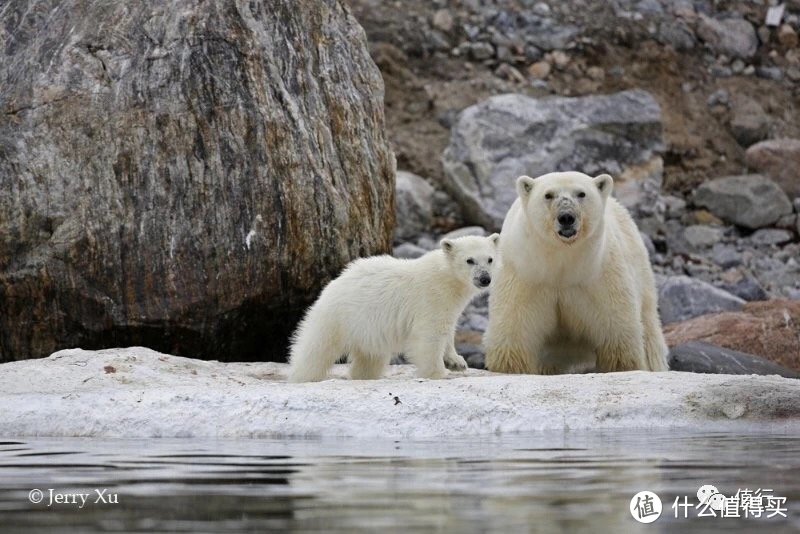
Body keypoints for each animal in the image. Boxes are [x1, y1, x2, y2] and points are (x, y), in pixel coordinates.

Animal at [288, 237, 500, 384]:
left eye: (490, 259)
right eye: (470, 260)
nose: (485, 279)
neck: (447, 277)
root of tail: (331, 285)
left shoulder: (450, 304)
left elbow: (447, 329)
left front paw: (457, 362)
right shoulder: (431, 297)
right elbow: (429, 336)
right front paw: (439, 373)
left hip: (368, 331)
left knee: (370, 359)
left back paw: (364, 376)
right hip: (338, 318)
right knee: (315, 349)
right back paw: (302, 376)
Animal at [482, 174, 668, 374]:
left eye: (581, 193)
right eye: (548, 195)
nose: (566, 217)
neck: (562, 266)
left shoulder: (600, 275)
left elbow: (616, 331)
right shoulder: (524, 276)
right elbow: (514, 330)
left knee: (649, 330)